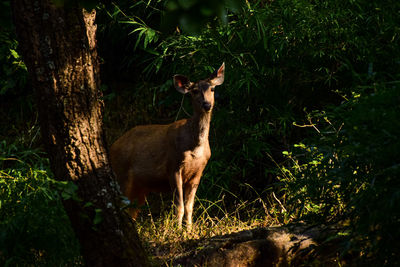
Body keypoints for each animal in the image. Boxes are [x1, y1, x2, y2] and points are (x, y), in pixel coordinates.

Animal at [109, 62, 225, 230]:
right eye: (194, 91)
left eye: (212, 89)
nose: (207, 104)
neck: (195, 147)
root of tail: (112, 147)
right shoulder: (173, 166)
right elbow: (179, 206)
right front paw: (178, 230)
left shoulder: (198, 171)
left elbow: (190, 206)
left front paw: (189, 230)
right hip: (121, 173)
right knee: (122, 205)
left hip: (140, 187)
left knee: (132, 210)